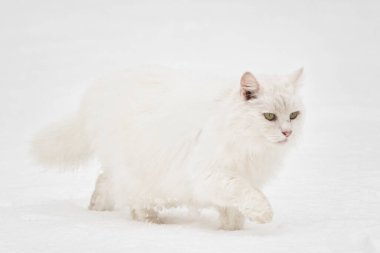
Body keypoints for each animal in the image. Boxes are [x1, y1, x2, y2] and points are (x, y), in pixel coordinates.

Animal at [33, 66, 306, 230]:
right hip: (141, 174)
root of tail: (94, 95)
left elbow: (234, 209)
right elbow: (246, 193)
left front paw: (232, 230)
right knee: (130, 198)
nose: (287, 132)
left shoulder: (241, 176)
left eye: (294, 115)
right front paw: (262, 214)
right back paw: (152, 222)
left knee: (104, 182)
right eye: (269, 116)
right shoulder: (213, 175)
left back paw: (97, 209)